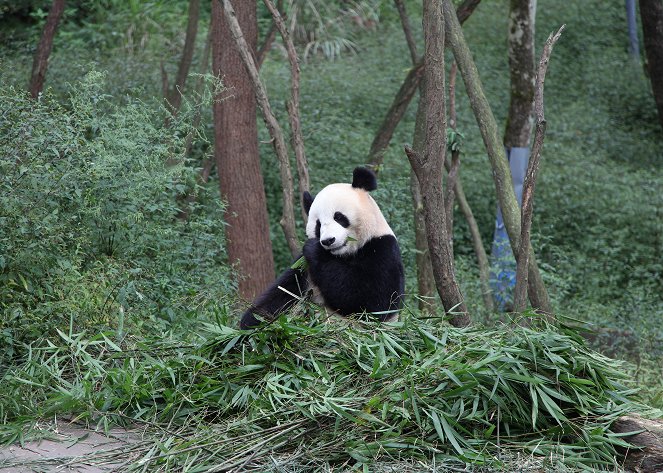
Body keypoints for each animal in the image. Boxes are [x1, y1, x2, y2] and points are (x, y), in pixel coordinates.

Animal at [239, 166, 404, 328]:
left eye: (339, 217)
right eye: (318, 225)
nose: (328, 241)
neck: (343, 254)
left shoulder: (382, 248)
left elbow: (373, 303)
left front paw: (314, 249)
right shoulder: (303, 267)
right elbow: (284, 290)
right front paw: (252, 320)